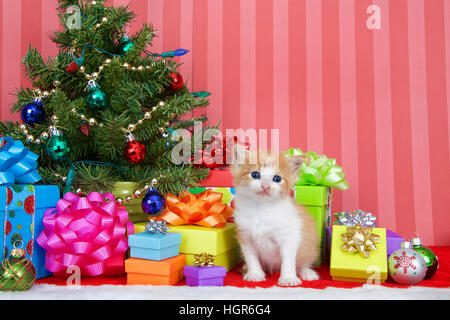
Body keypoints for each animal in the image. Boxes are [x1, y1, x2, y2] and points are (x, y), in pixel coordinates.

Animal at [232, 151, 320, 286]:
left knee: (304, 261)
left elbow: (288, 260)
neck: (261, 208)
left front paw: (288, 278)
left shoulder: (289, 236)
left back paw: (307, 272)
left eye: (277, 178)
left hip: (308, 247)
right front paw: (255, 274)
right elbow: (251, 258)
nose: (265, 186)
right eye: (255, 175)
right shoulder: (245, 236)